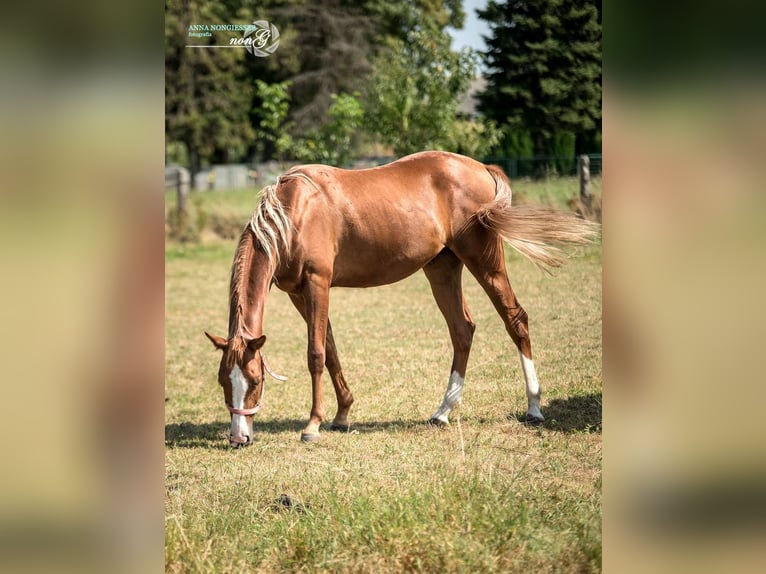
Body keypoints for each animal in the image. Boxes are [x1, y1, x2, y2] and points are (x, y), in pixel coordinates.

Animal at [204, 152, 600, 446]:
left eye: (255, 381)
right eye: (224, 381)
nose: (239, 438)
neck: (294, 212)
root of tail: (483, 169)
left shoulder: (318, 283)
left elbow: (315, 353)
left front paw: (313, 424)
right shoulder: (298, 293)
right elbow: (330, 348)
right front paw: (342, 414)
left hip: (484, 261)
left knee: (515, 318)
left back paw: (533, 407)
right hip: (442, 268)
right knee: (463, 329)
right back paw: (442, 412)